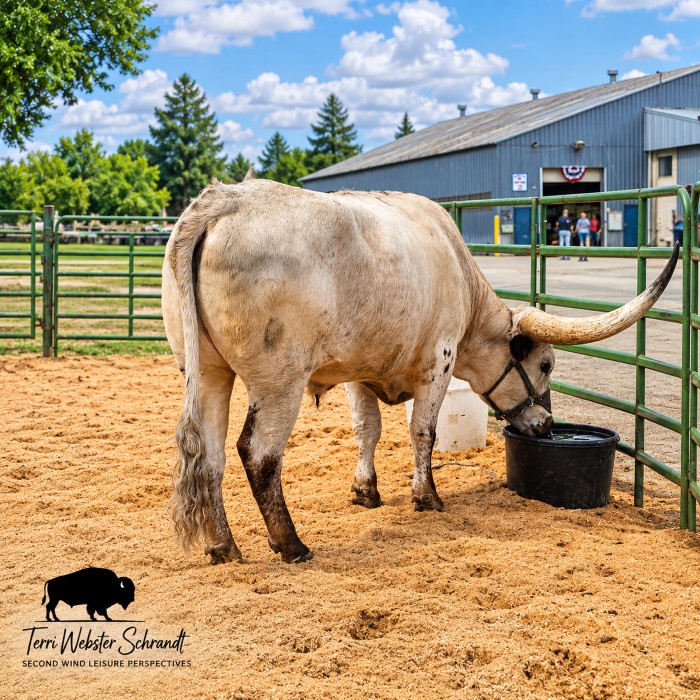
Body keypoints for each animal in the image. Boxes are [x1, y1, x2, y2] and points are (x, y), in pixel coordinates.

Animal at [161, 179, 678, 565]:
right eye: (545, 364)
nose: (548, 425)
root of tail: (223, 200)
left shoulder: (357, 369)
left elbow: (366, 429)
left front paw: (365, 491)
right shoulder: (439, 360)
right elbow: (422, 431)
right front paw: (427, 495)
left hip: (207, 372)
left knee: (209, 457)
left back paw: (223, 546)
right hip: (278, 380)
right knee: (259, 454)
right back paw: (290, 544)